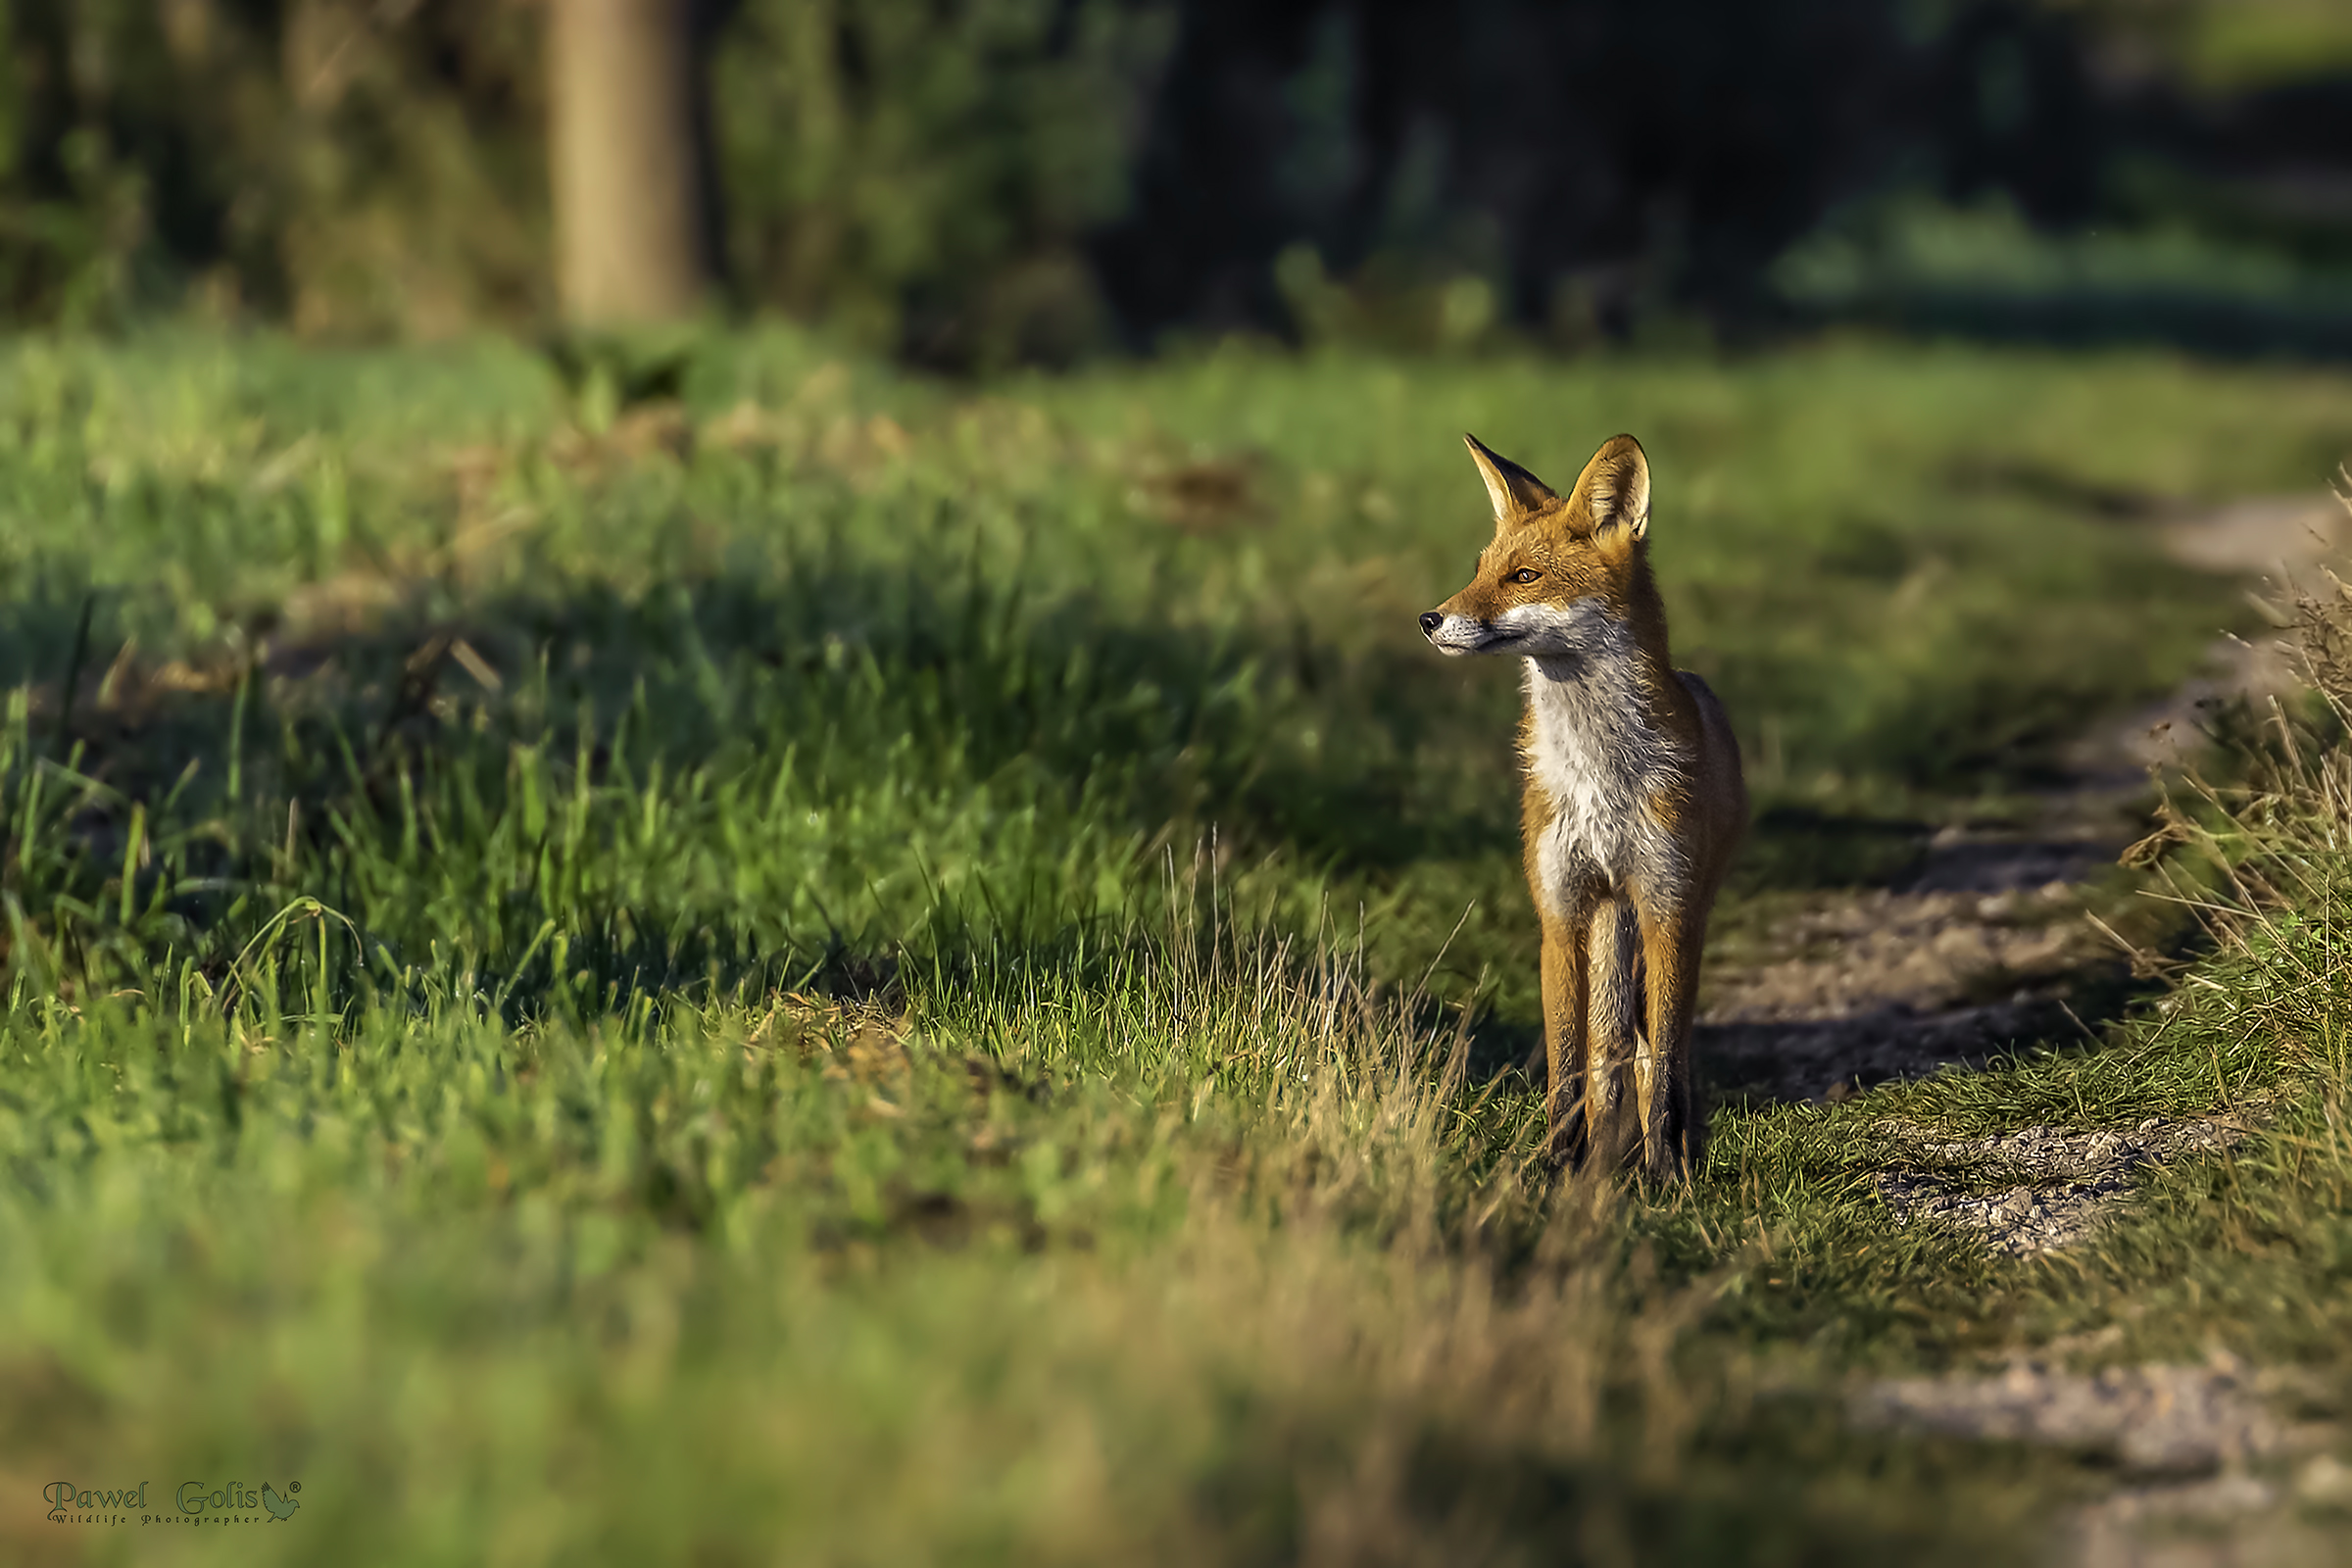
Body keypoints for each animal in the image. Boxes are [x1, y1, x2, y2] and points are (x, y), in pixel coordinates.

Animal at [1419, 433, 1745, 1181]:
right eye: (1479, 570)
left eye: (1525, 577)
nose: (1429, 619)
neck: (1601, 777)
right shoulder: (1561, 910)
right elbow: (1570, 1064)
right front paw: (1552, 1164)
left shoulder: (1667, 906)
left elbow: (1666, 1068)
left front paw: (1663, 1176)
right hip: (1606, 918)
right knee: (1608, 1051)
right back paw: (1599, 1153)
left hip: (1676, 910)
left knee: (1661, 1049)